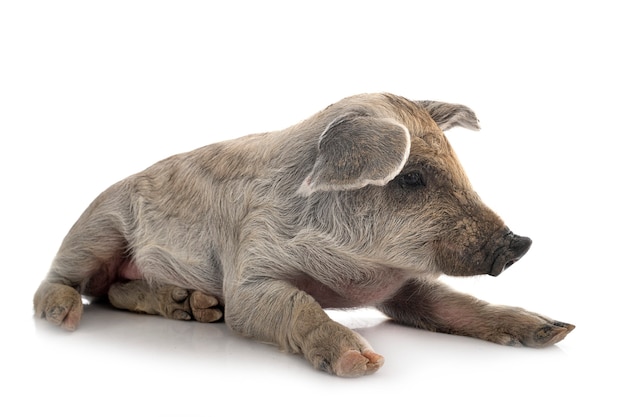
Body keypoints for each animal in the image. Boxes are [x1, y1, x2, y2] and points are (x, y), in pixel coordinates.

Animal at [33, 92, 572, 376]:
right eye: (411, 178)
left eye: (460, 168)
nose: (519, 243)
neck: (351, 276)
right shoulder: (249, 269)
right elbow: (289, 304)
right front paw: (364, 362)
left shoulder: (405, 287)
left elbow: (454, 305)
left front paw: (554, 331)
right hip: (96, 227)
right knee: (66, 284)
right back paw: (63, 318)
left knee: (115, 292)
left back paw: (198, 309)